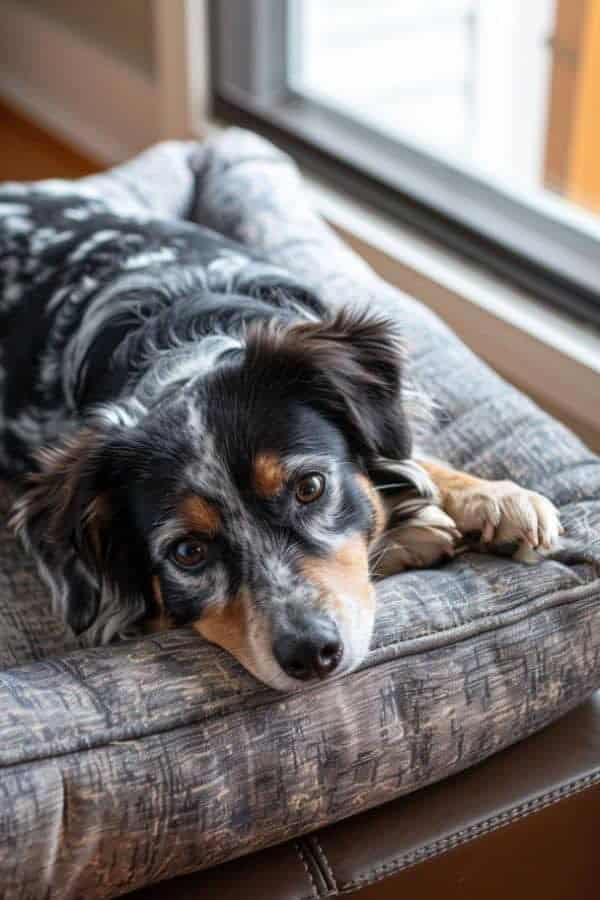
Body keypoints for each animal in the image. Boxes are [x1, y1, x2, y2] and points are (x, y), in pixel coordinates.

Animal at [1, 181, 564, 688]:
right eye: (187, 552)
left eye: (310, 487)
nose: (312, 653)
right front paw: (412, 534)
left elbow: (410, 451)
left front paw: (494, 498)